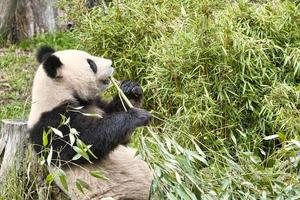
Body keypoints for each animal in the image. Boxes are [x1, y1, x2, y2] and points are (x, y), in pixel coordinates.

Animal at [27, 46, 152, 199]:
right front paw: (137, 116)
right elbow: (87, 142)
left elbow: (120, 135)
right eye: (92, 64)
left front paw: (130, 89)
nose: (111, 63)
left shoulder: (92, 104)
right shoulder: (52, 126)